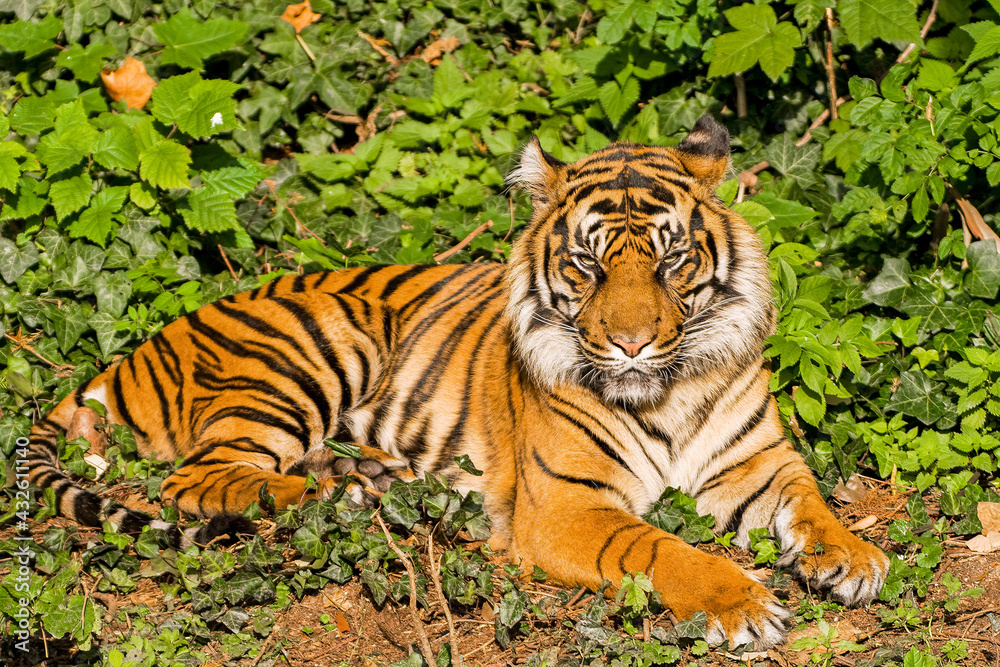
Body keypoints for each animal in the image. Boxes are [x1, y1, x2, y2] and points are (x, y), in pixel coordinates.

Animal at [26, 115, 889, 649]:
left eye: (672, 260)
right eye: (587, 264)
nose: (633, 342)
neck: (667, 389)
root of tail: (135, 349)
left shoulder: (758, 463)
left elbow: (811, 500)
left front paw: (851, 556)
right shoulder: (566, 505)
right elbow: (662, 547)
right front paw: (741, 602)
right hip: (314, 351)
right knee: (200, 478)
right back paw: (336, 494)